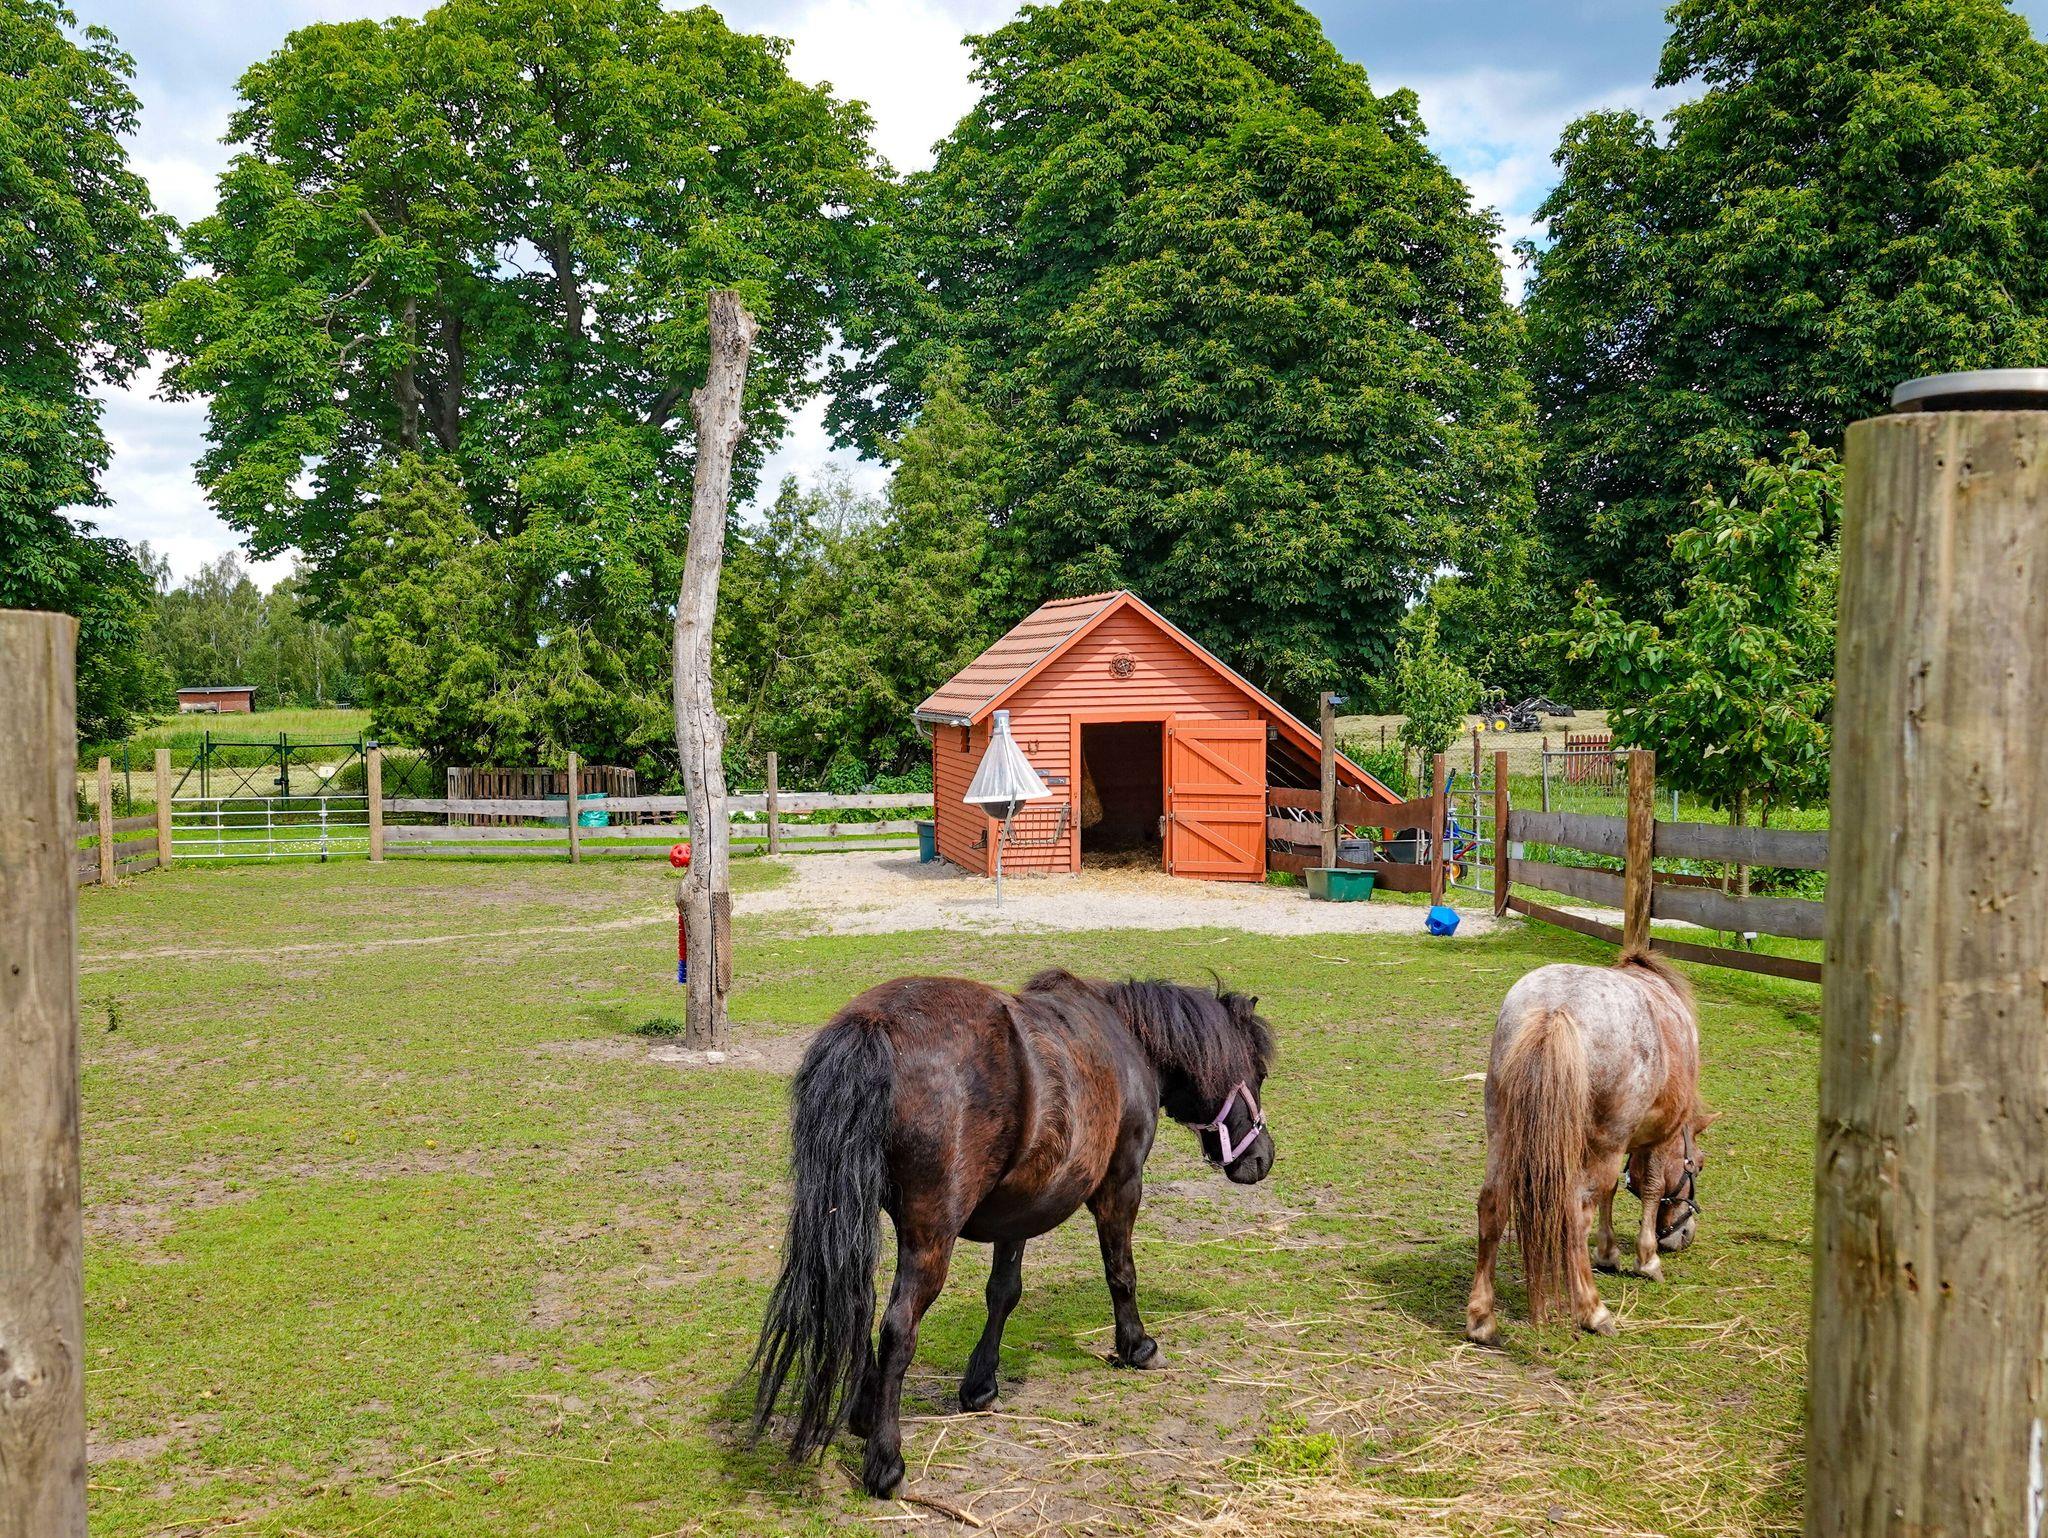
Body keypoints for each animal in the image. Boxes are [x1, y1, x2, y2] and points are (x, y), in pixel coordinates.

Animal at [749, 968, 1276, 1497]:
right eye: (1259, 1072)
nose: (1262, 1158)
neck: (1129, 1040)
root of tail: (874, 1025)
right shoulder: (1123, 1181)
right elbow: (1121, 1272)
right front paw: (1137, 1345)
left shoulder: (1019, 1209)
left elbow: (1003, 1292)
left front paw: (980, 1384)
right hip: (930, 1234)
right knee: (898, 1326)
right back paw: (885, 1459)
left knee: (856, 1303)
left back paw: (863, 1413)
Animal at [1464, 951, 1712, 1344]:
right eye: (1698, 1165)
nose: (1683, 1237)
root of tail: (1556, 1009)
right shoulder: (1655, 1138)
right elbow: (1651, 1188)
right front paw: (1647, 1260)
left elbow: (1611, 1192)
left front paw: (1608, 1253)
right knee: (1576, 1216)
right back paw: (1593, 1311)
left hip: (1504, 1134)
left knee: (1492, 1206)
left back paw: (1481, 1319)